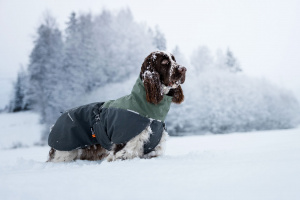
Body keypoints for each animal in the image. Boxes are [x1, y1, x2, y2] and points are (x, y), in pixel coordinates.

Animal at [47, 50, 185, 162]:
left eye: (174, 59)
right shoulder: (123, 149)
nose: (184, 69)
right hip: (65, 151)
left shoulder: (153, 150)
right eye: (164, 61)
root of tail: (56, 121)